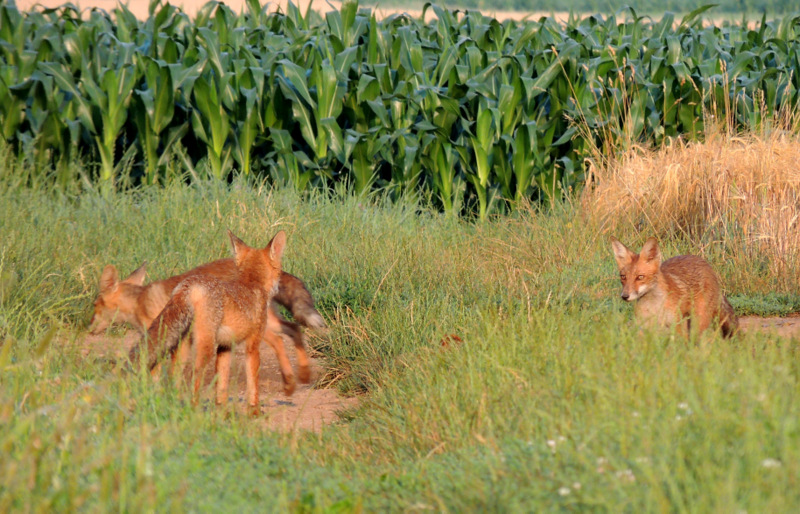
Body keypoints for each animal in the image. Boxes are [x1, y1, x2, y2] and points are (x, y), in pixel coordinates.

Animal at [89, 246, 324, 390]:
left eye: (94, 306)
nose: (88, 328)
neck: (141, 301)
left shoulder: (172, 336)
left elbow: (163, 370)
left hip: (256, 326)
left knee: (278, 339)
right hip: (267, 322)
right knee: (293, 329)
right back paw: (301, 375)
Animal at [131, 229, 290, 412]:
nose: (280, 286)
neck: (251, 283)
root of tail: (189, 285)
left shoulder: (225, 347)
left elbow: (221, 385)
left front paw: (222, 411)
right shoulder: (253, 345)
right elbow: (253, 384)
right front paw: (254, 411)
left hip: (183, 348)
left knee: (173, 379)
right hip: (205, 346)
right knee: (194, 377)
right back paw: (194, 409)